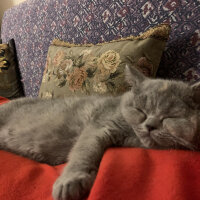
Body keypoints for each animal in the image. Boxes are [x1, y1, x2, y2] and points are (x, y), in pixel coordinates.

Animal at [0, 66, 199, 200]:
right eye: (140, 110)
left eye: (169, 117)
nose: (149, 125)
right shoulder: (99, 125)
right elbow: (84, 150)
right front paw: (70, 181)